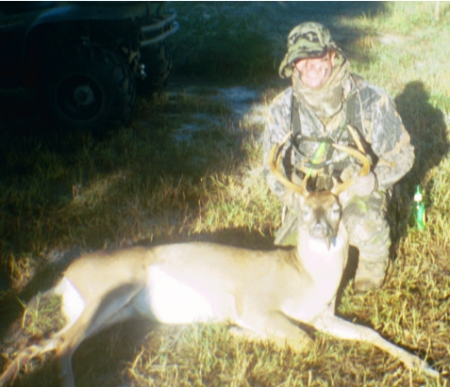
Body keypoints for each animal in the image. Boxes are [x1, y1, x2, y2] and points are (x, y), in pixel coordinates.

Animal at [0, 135, 438, 386]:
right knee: (63, 346)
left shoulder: (322, 314)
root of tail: (65, 275)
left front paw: (425, 366)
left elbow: (369, 333)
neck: (307, 280)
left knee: (44, 342)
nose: (319, 229)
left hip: (111, 312)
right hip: (112, 289)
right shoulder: (255, 304)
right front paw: (240, 333)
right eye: (304, 208)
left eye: (335, 208)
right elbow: (302, 340)